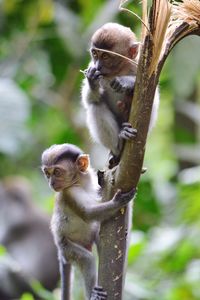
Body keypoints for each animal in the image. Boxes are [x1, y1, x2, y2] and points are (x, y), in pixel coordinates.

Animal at [41, 144, 135, 300]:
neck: (80, 182)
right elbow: (87, 214)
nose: (51, 183)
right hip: (67, 248)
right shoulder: (69, 194)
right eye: (47, 174)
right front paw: (118, 201)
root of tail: (61, 252)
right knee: (87, 259)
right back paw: (93, 294)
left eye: (57, 172)